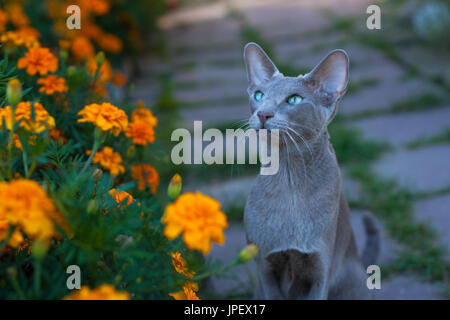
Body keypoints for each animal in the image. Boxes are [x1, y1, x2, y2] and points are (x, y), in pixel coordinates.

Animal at [243, 42, 380, 300]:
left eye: (294, 99)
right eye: (259, 96)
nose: (263, 113)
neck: (290, 180)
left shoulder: (320, 270)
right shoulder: (265, 268)